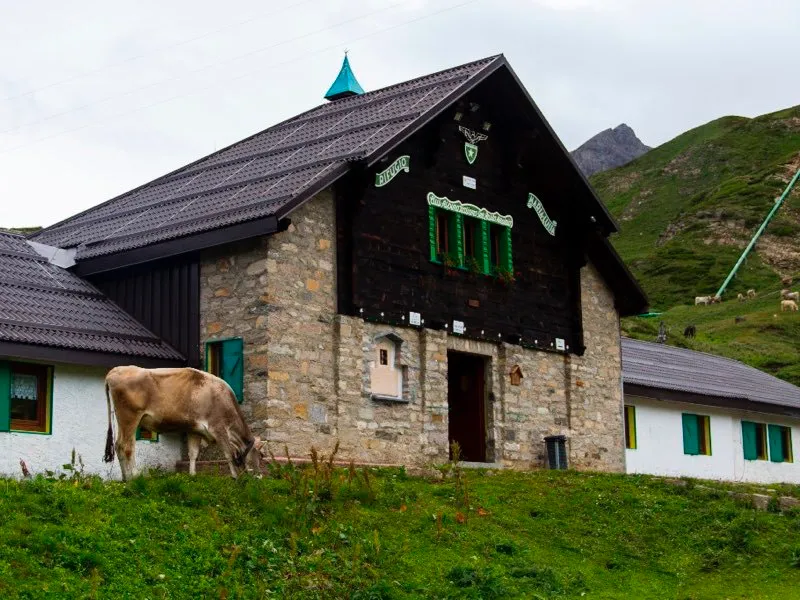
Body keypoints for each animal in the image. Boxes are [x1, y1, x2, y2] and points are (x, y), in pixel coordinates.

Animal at [102, 364, 266, 480]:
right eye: (262, 455)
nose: (260, 477)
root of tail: (115, 371)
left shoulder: (195, 429)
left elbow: (193, 453)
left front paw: (192, 475)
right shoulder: (218, 428)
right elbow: (228, 453)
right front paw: (235, 477)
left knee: (118, 446)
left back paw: (125, 478)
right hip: (129, 417)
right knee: (126, 446)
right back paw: (134, 477)